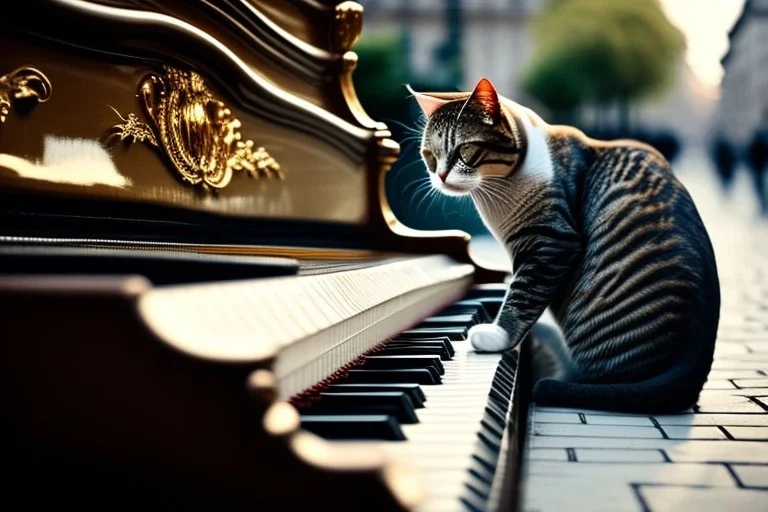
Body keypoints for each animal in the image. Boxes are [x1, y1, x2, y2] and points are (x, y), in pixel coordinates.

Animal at [408, 78, 720, 414]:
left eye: (464, 150)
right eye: (429, 155)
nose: (440, 175)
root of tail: (694, 370)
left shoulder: (551, 243)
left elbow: (522, 296)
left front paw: (496, 335)